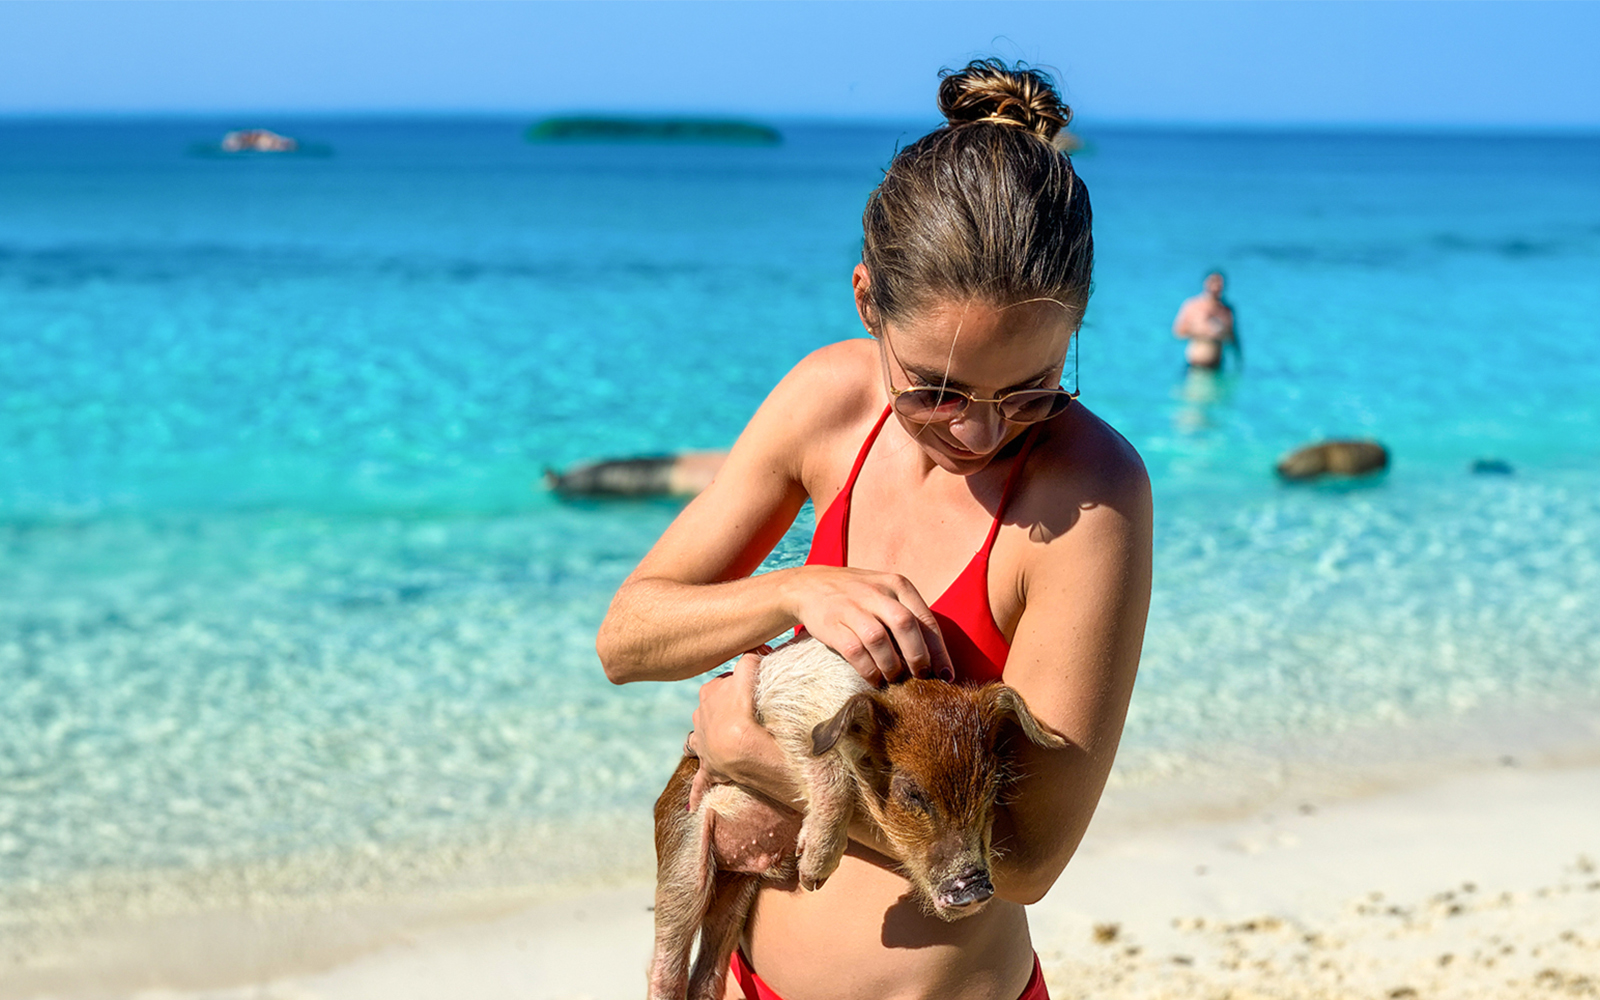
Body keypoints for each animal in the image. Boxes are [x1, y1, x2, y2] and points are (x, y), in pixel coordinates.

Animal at [648, 636, 1067, 1000]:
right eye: (910, 792)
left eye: (991, 789)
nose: (976, 886)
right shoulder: (787, 706)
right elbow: (831, 769)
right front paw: (812, 877)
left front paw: (808, 873)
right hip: (683, 847)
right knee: (670, 945)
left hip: (737, 891)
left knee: (711, 964)